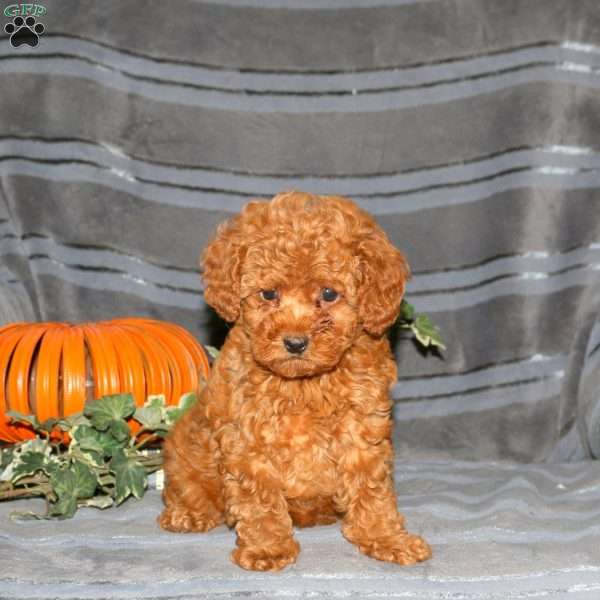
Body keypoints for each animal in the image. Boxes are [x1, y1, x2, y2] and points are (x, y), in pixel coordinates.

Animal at [159, 192, 432, 572]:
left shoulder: (362, 429)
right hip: (185, 448)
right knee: (187, 485)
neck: (304, 384)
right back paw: (188, 513)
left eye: (329, 294)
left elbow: (370, 487)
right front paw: (267, 548)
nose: (295, 343)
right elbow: (259, 497)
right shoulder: (248, 438)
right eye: (268, 294)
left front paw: (385, 538)